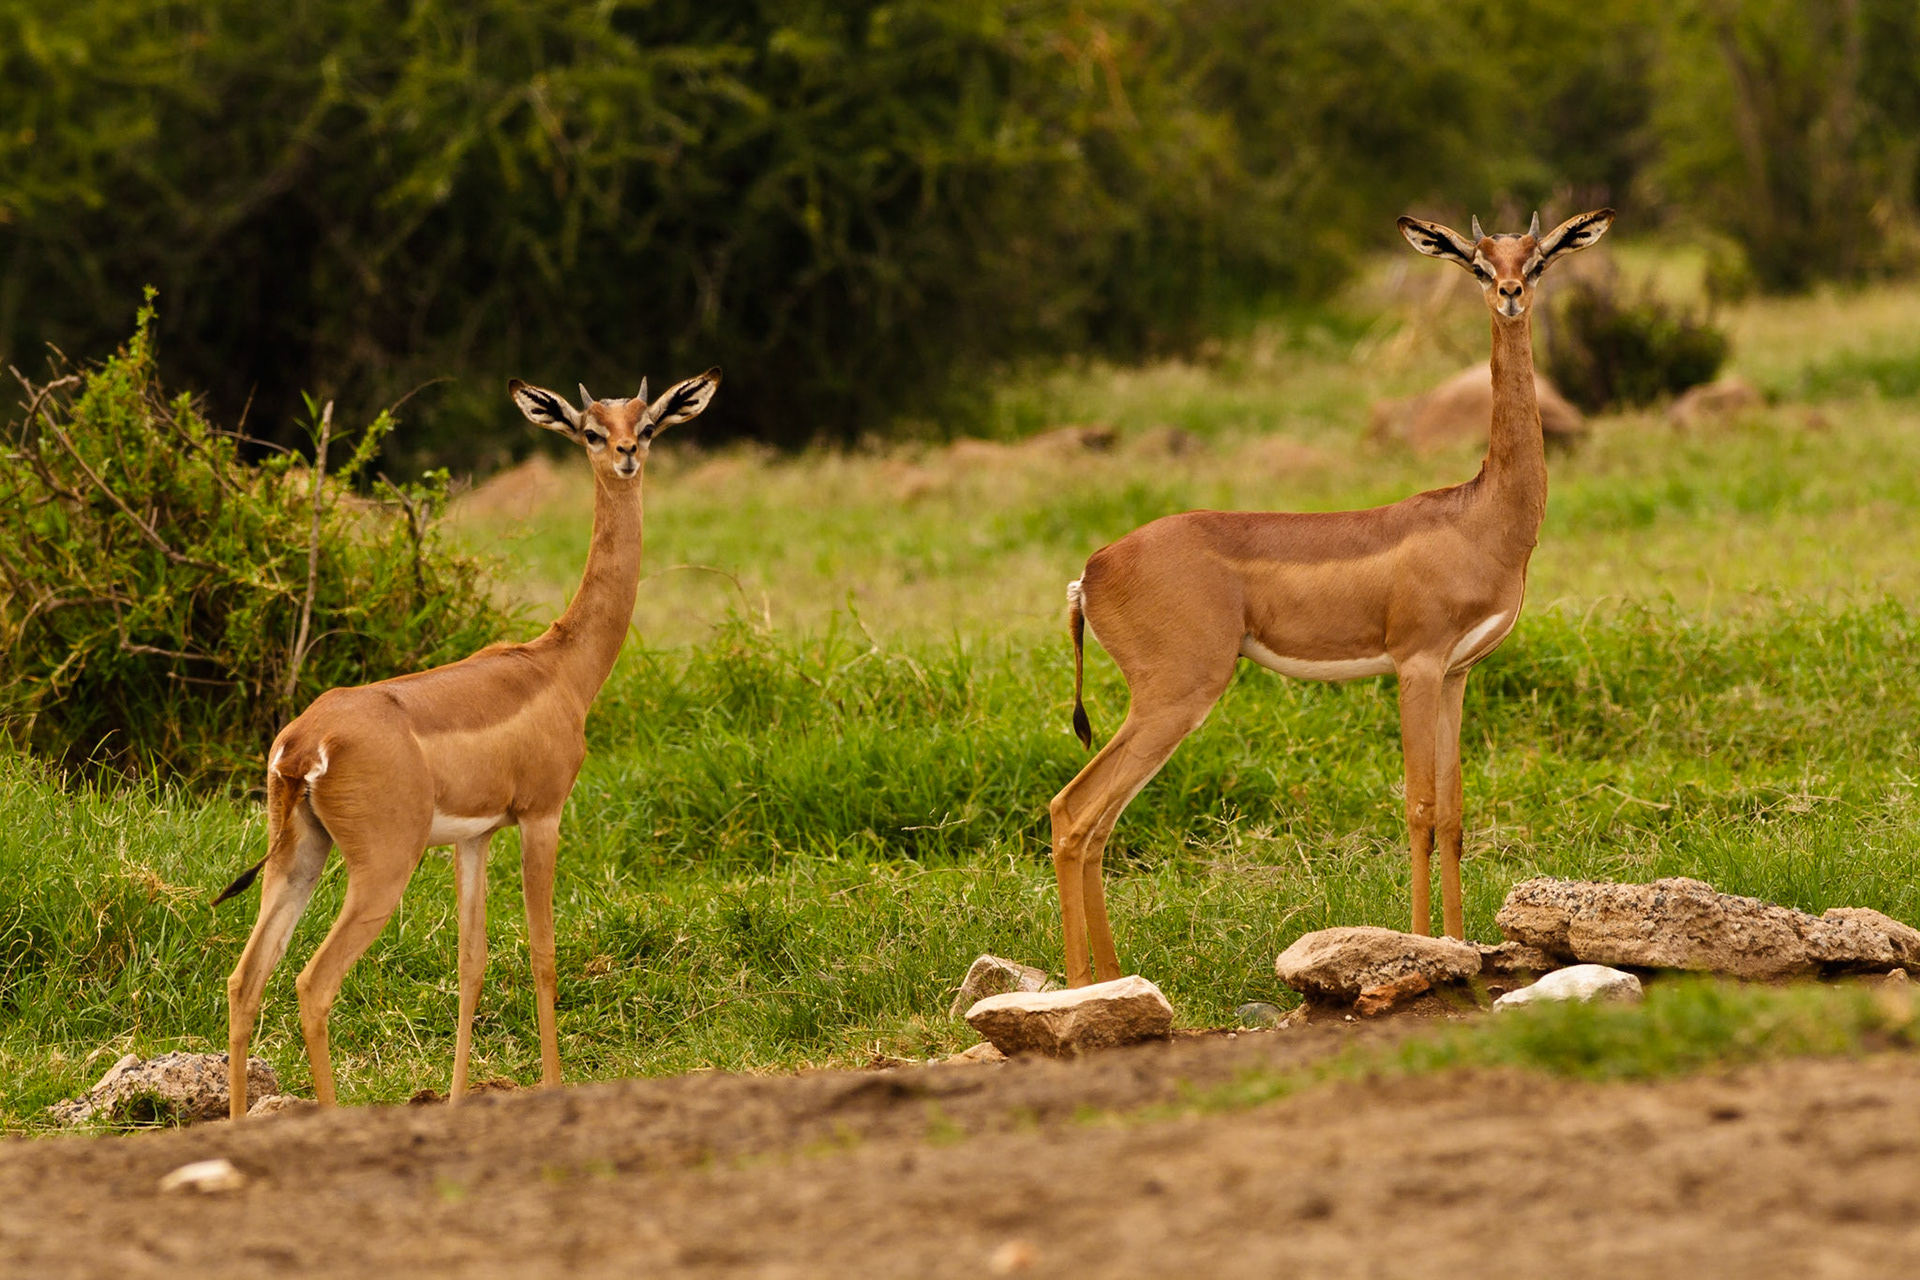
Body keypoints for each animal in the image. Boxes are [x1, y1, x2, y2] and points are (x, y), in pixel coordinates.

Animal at [215, 368, 720, 1118]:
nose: (628, 454)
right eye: (590, 431)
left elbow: (471, 960)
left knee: (245, 979)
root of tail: (303, 744)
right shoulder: (542, 816)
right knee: (312, 983)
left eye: (648, 423)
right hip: (380, 872)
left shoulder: (473, 837)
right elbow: (542, 952)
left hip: (299, 856)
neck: (559, 666)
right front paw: (552, 1086)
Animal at [1049, 210, 1614, 986]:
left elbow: (1454, 813)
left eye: (1538, 258)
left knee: (1098, 820)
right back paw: (1081, 987)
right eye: (1476, 262)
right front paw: (1420, 947)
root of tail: (1092, 570)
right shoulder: (1415, 664)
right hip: (1177, 695)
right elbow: (1419, 806)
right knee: (1074, 811)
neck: (1480, 515)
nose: (1509, 293)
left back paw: (1114, 978)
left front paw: (1461, 943)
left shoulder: (1458, 674)